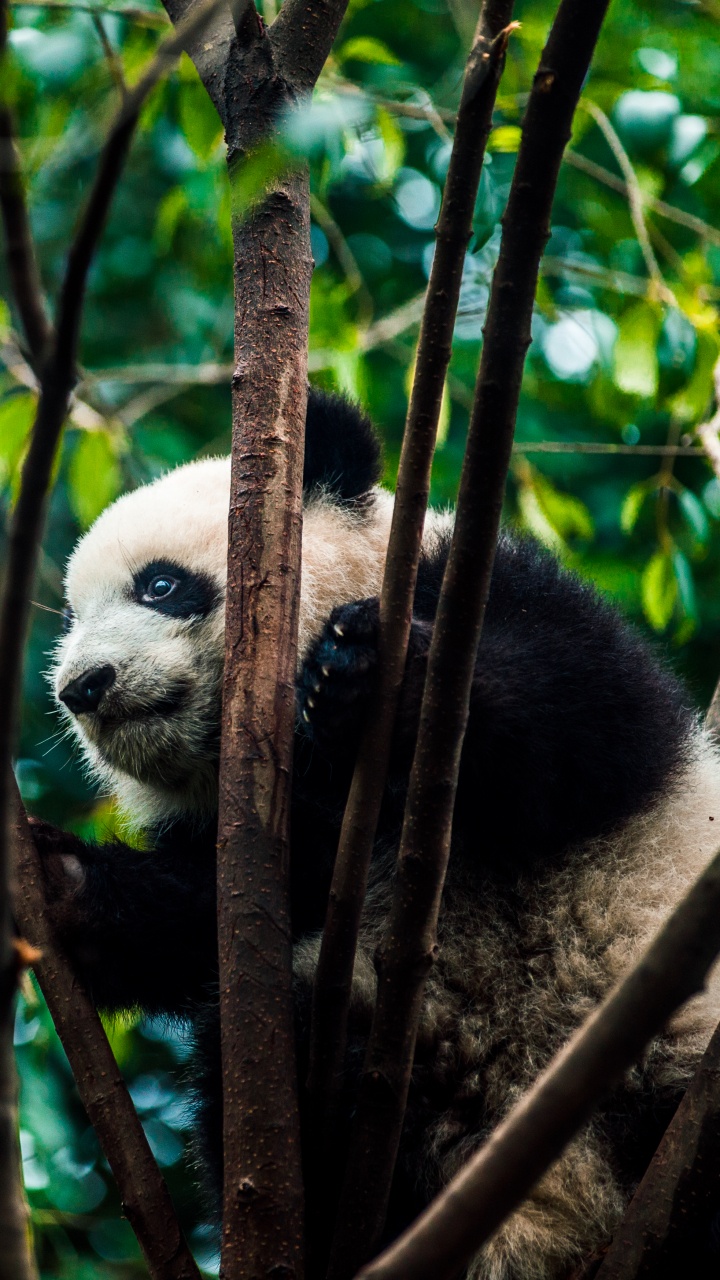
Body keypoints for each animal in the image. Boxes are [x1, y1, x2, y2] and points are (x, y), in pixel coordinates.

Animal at [30, 388, 720, 1280]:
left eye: (160, 585)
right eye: (72, 617)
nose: (82, 686)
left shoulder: (487, 589)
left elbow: (579, 726)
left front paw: (369, 681)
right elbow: (201, 914)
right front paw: (64, 883)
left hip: (665, 1057)